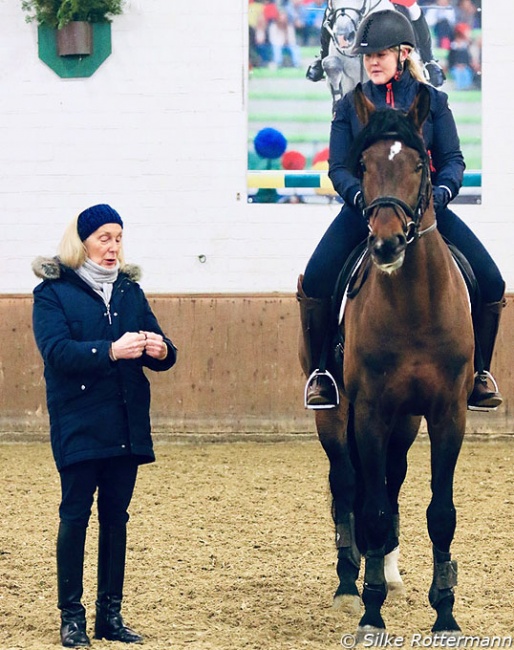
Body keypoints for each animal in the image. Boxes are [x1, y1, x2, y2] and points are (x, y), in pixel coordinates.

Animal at [304, 83, 472, 636]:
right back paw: (347, 584)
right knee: (347, 485)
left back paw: (391, 574)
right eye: (365, 163)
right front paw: (371, 610)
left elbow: (439, 512)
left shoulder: (446, 414)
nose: (386, 244)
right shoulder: (371, 412)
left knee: (392, 481)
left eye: (419, 164)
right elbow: (371, 509)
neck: (415, 305)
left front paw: (445, 614)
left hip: (406, 421)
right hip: (336, 415)